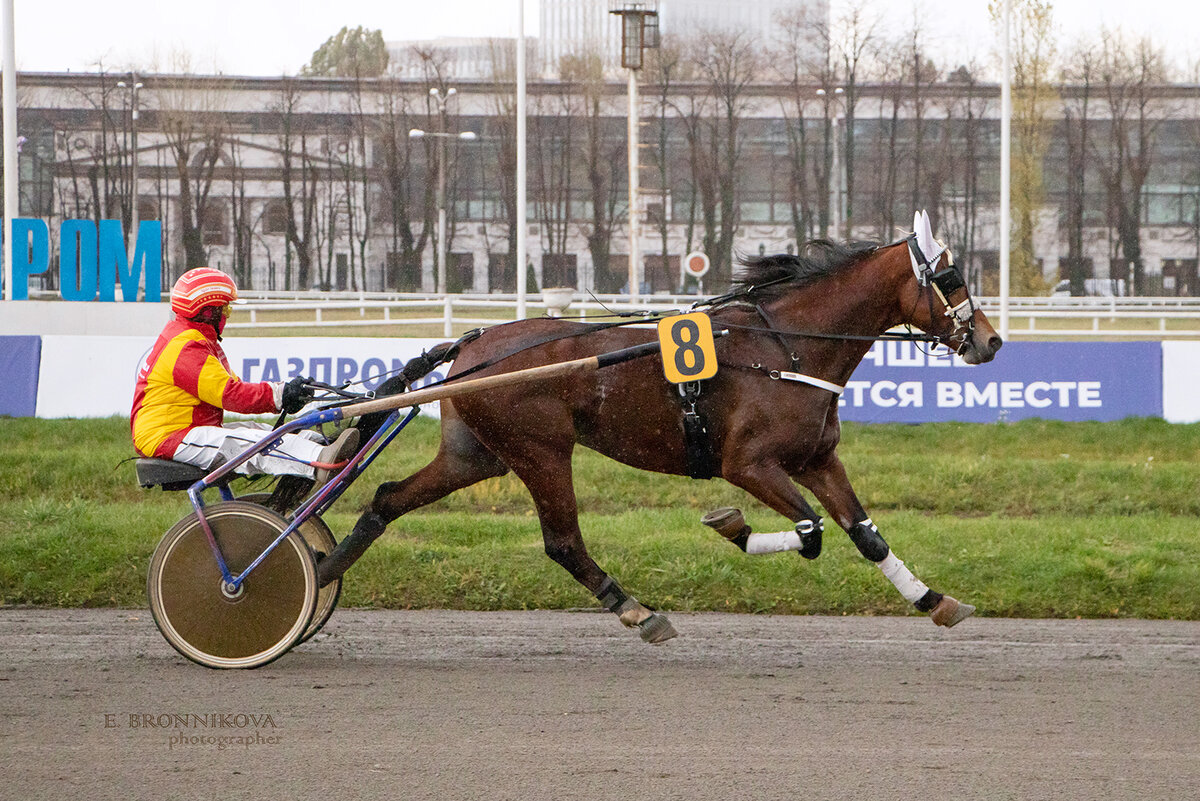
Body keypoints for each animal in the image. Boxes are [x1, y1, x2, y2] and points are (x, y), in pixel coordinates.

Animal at [314, 217, 998, 642]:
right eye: (950, 277)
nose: (990, 341)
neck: (787, 348)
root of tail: (470, 346)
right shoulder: (749, 464)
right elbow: (809, 532)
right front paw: (732, 525)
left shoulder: (817, 459)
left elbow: (866, 535)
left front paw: (936, 602)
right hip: (541, 450)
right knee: (563, 542)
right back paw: (638, 612)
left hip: (477, 454)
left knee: (388, 497)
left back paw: (322, 572)